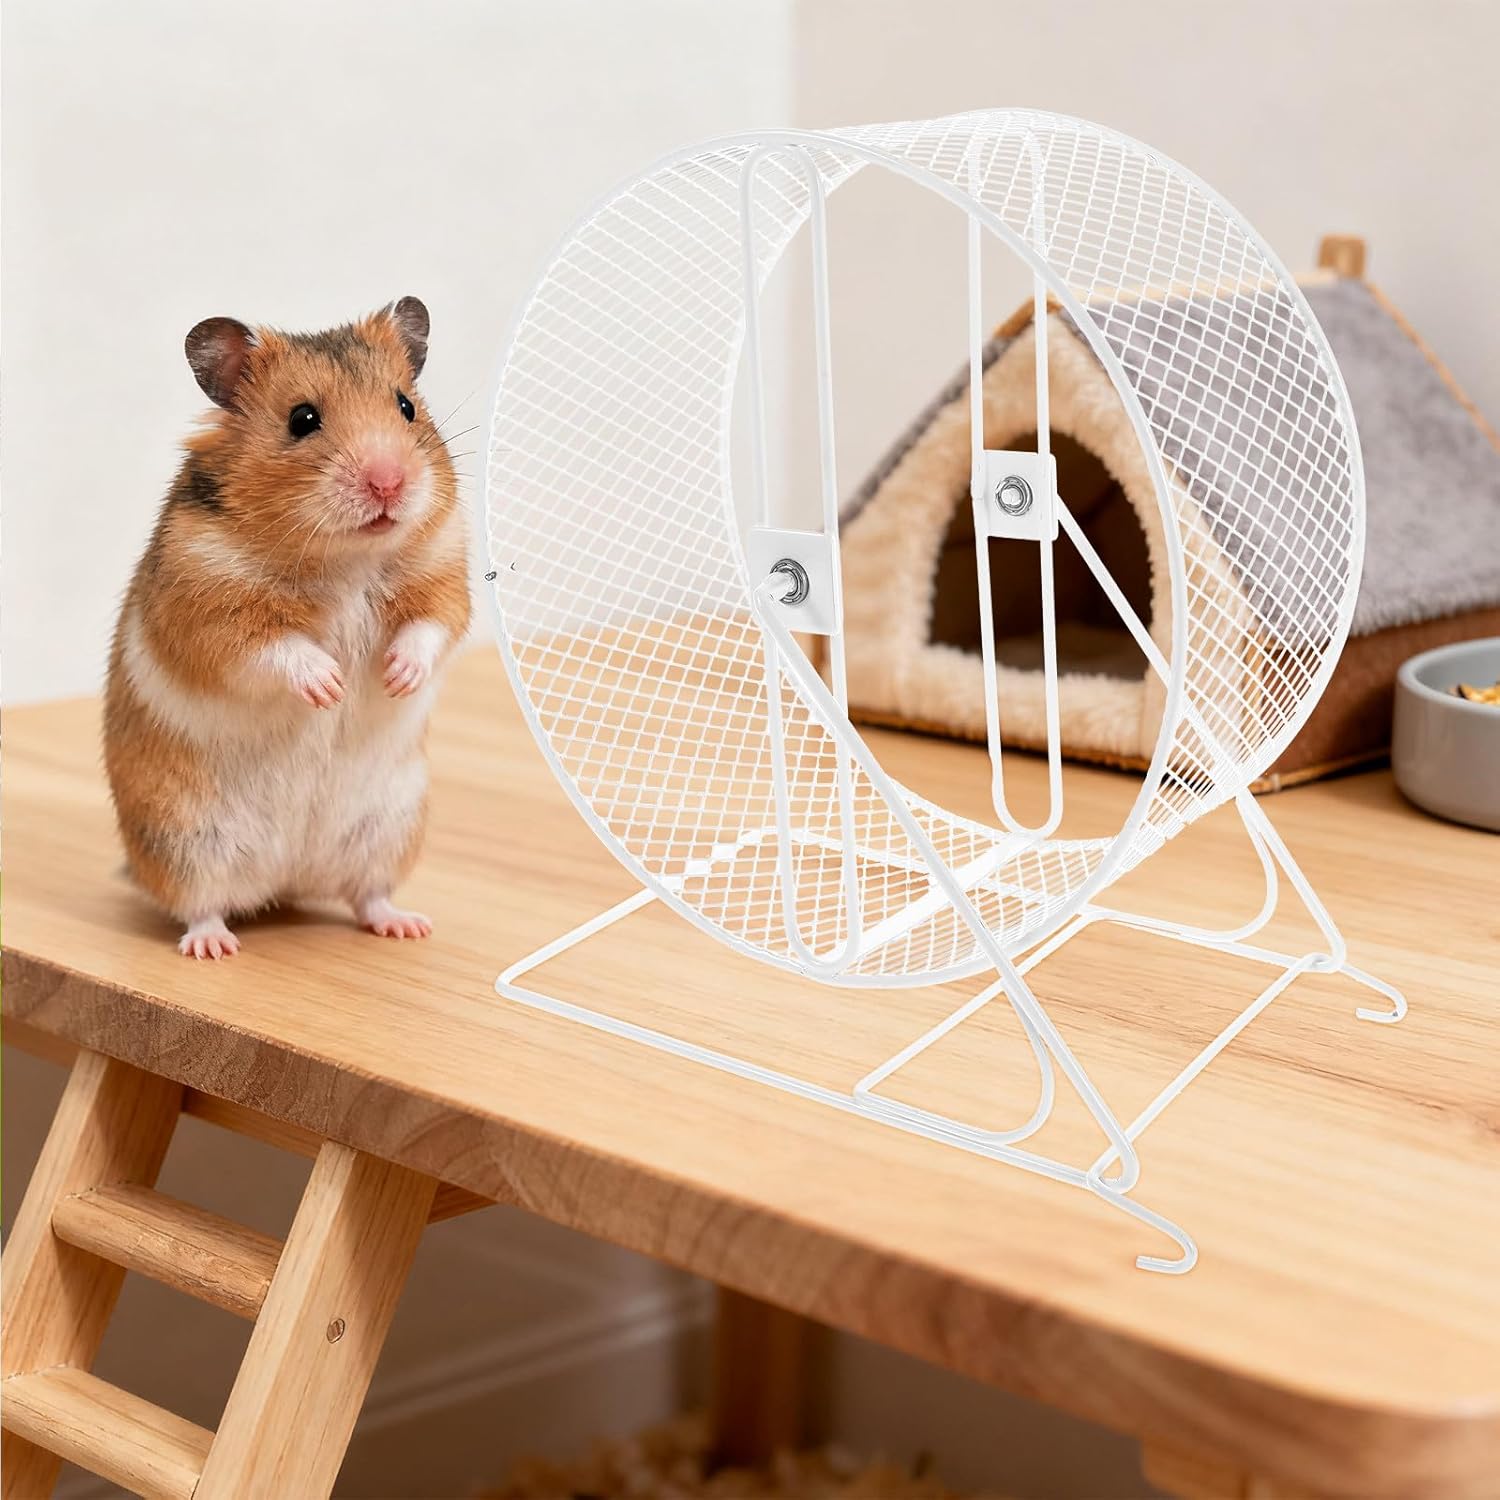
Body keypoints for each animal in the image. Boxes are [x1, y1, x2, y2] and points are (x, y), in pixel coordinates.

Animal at [104, 298, 471, 958]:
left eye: (406, 406)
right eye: (303, 419)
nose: (389, 483)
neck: (343, 557)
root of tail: (285, 881)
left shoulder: (444, 574)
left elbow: (430, 626)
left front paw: (396, 677)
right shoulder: (210, 611)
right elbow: (273, 649)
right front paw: (330, 689)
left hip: (389, 828)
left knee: (367, 893)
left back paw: (405, 926)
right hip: (183, 838)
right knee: (199, 903)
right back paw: (214, 947)